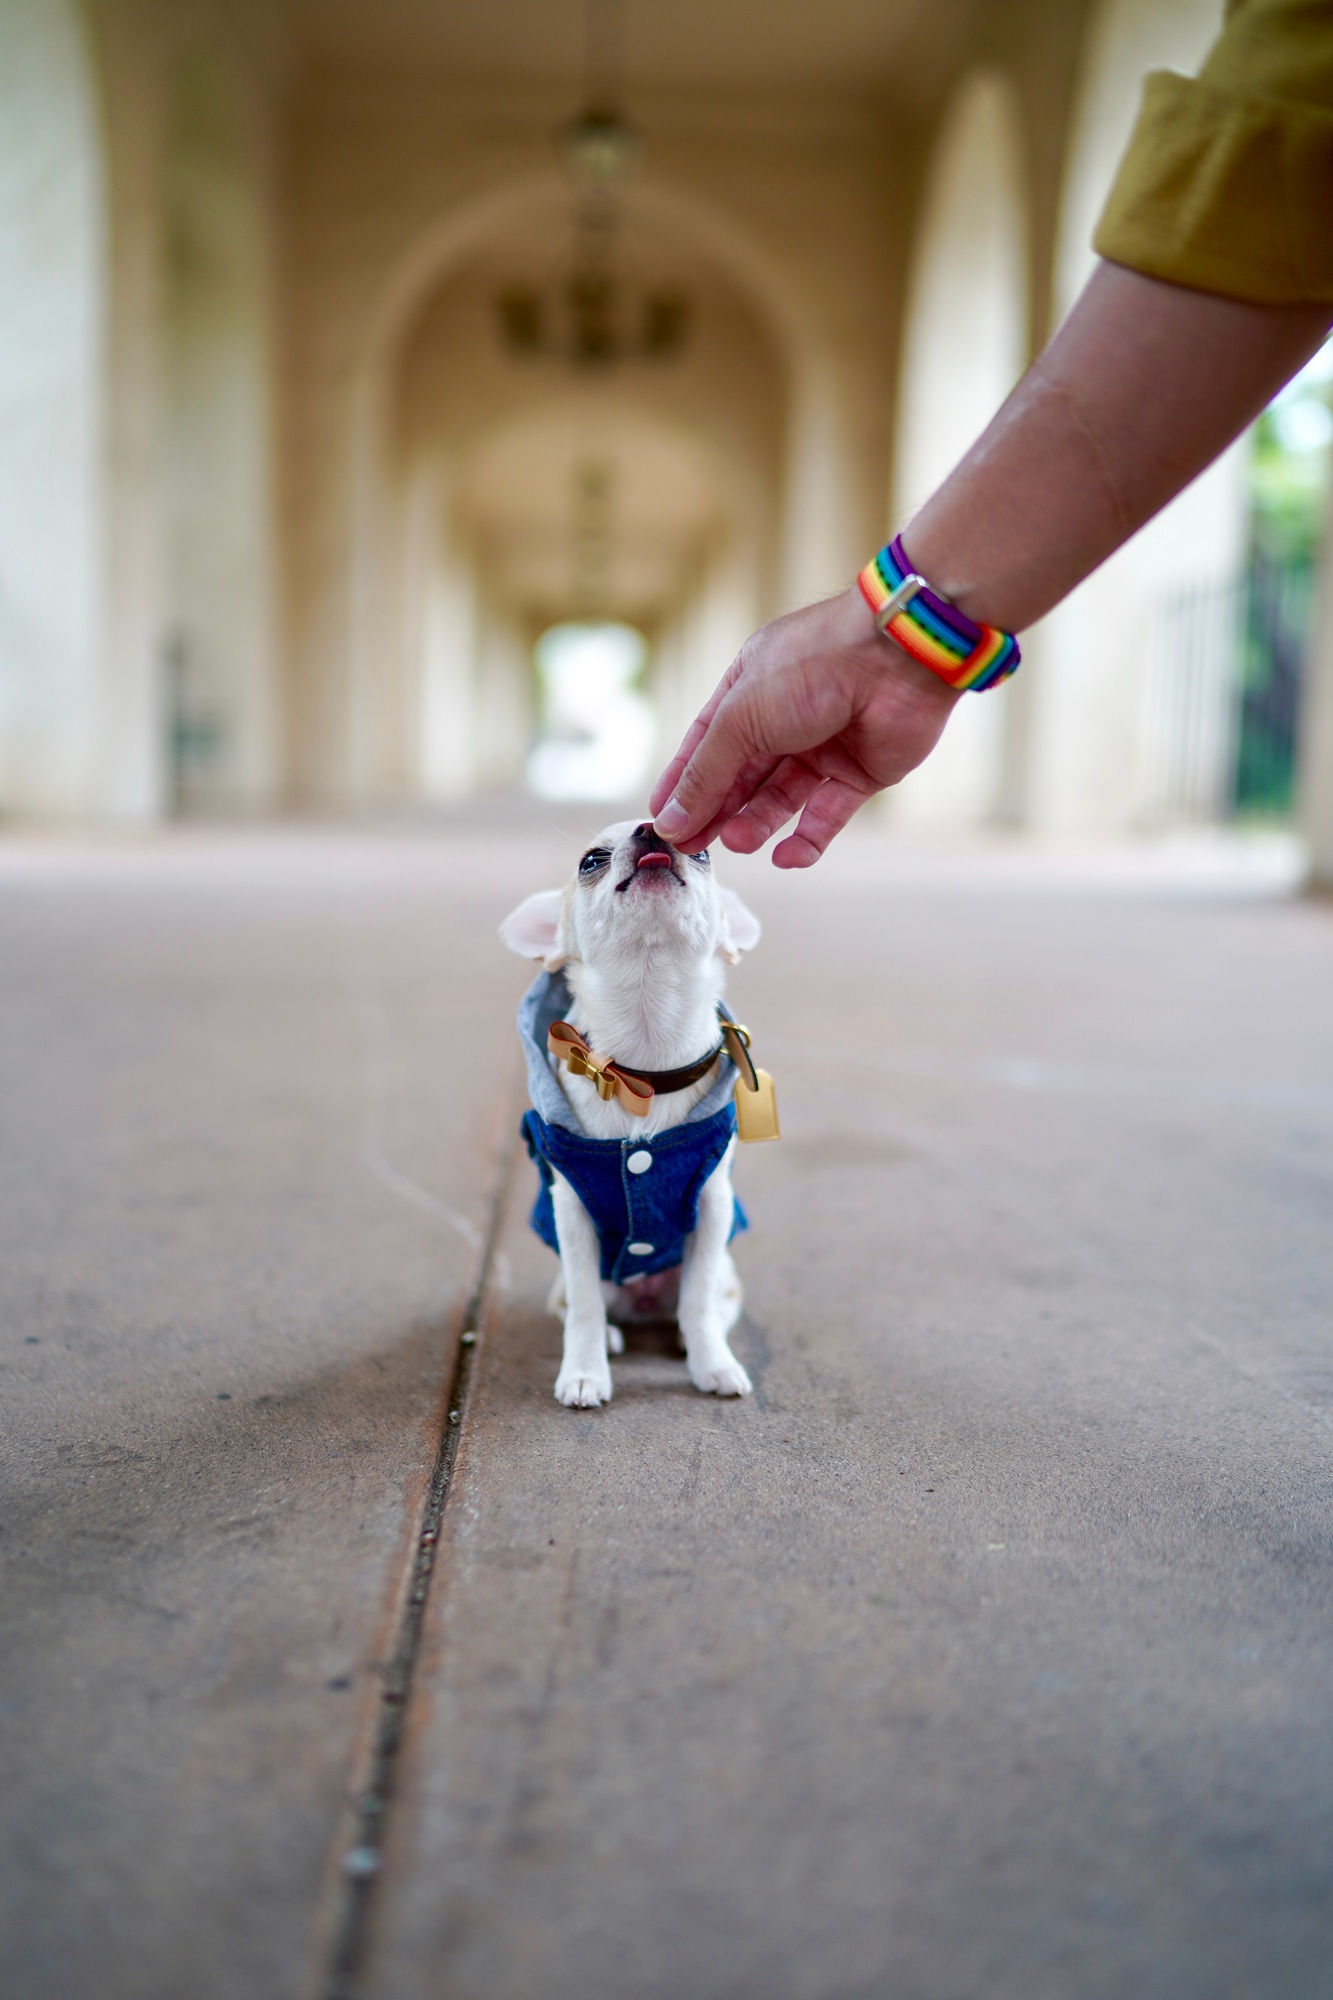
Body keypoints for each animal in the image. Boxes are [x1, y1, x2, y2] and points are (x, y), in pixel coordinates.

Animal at [500, 812, 756, 1408]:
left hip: (728, 1270)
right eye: (590, 860)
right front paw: (584, 1370)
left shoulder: (713, 1204)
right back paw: (612, 1338)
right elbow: (585, 1304)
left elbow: (699, 1298)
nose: (654, 828)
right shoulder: (573, 1212)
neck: (645, 1070)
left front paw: (713, 1363)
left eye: (704, 852)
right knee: (583, 1303)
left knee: (705, 1302)